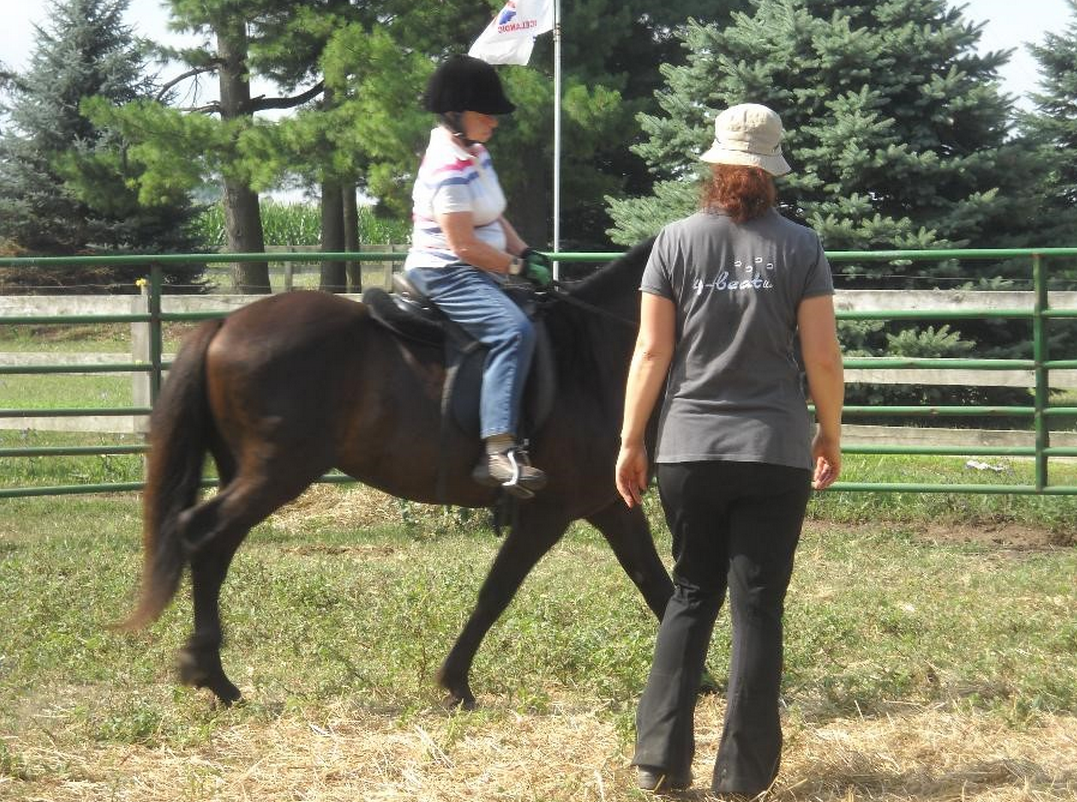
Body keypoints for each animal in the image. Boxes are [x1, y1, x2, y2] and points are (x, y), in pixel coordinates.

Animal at [120, 237, 672, 706]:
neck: (594, 354)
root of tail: (223, 324)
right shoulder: (547, 515)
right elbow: (496, 591)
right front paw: (455, 683)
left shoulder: (611, 506)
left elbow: (656, 583)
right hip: (275, 473)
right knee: (203, 534)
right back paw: (210, 674)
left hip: (252, 474)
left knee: (215, 547)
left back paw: (212, 673)